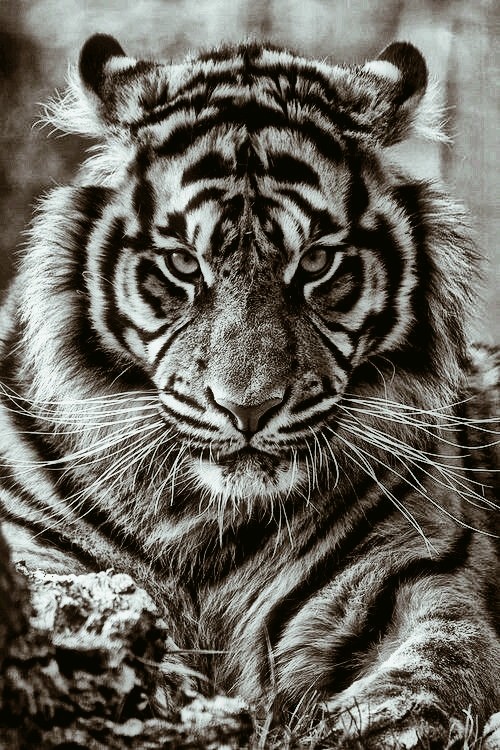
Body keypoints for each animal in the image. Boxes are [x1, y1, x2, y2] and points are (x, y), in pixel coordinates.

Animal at [0, 32, 498, 748]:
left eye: (316, 262)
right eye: (183, 264)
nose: (248, 408)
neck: (205, 523)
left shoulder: (413, 580)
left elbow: (420, 687)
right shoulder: (41, 559)